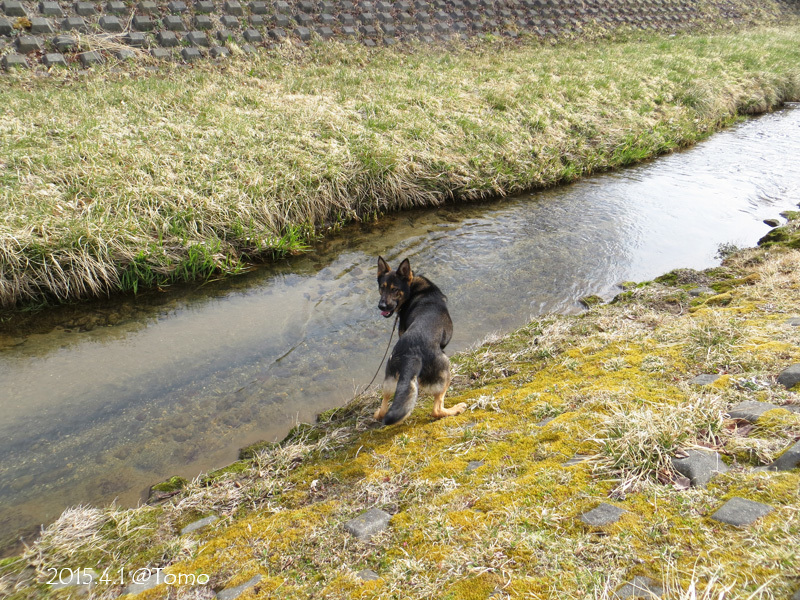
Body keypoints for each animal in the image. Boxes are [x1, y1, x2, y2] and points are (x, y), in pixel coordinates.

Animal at [374, 255, 466, 424]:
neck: (412, 289)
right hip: (445, 370)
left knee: (385, 407)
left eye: (394, 289)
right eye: (382, 287)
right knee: (437, 410)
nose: (381, 306)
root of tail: (410, 355)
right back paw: (455, 409)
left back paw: (378, 413)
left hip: (389, 381)